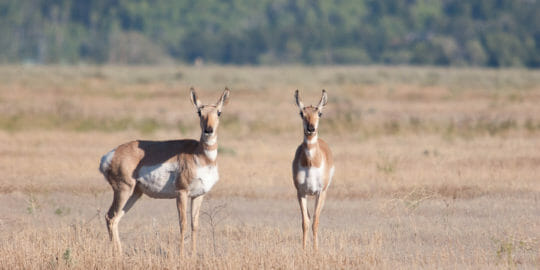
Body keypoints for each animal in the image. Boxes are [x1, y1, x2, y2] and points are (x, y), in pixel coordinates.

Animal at [98, 87, 229, 255]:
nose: (208, 130)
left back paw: (120, 253)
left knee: (115, 219)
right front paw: (181, 255)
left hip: (135, 194)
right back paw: (116, 254)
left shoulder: (198, 196)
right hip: (123, 191)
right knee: (110, 217)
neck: (200, 155)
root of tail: (110, 155)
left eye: (219, 112)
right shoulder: (181, 193)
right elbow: (183, 224)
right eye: (199, 112)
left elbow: (194, 225)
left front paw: (193, 255)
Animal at [292, 89, 334, 251]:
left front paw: (315, 251)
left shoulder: (320, 192)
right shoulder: (301, 193)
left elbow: (315, 222)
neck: (311, 163)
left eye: (319, 113)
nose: (311, 128)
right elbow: (305, 222)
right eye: (301, 113)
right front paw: (304, 250)